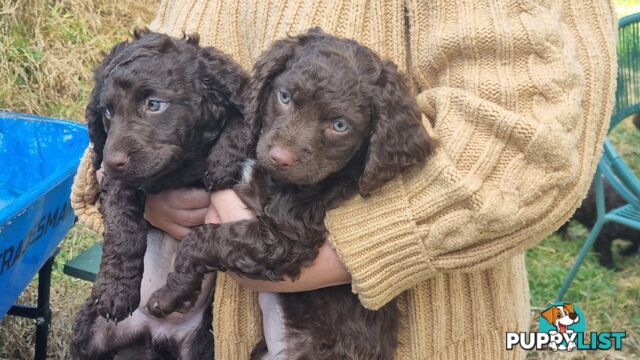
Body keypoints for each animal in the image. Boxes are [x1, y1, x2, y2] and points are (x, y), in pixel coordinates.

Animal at [71, 28, 249, 360]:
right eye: (107, 112)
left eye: (154, 104)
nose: (112, 161)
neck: (177, 171)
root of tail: (153, 333)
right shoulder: (119, 181)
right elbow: (124, 228)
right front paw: (116, 289)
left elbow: (242, 116)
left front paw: (223, 159)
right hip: (89, 330)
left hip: (201, 344)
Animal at [146, 28, 436, 360]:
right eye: (284, 97)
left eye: (340, 125)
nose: (279, 157)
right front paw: (223, 159)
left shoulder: (284, 240)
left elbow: (202, 240)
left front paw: (168, 295)